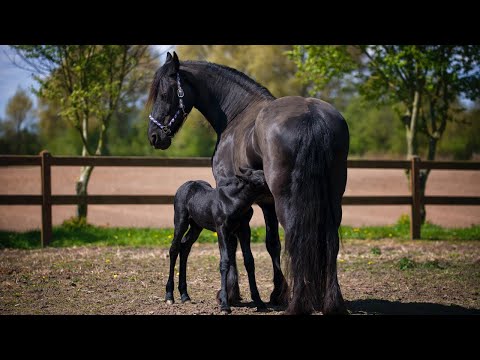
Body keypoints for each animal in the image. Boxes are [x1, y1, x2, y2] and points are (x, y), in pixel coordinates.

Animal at [166, 169, 268, 312]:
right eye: (262, 180)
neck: (234, 201)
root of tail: (185, 185)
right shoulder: (221, 230)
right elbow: (224, 262)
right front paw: (225, 304)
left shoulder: (244, 229)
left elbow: (249, 261)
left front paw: (259, 301)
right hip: (181, 221)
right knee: (174, 248)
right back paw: (169, 296)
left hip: (196, 226)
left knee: (185, 246)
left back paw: (185, 295)